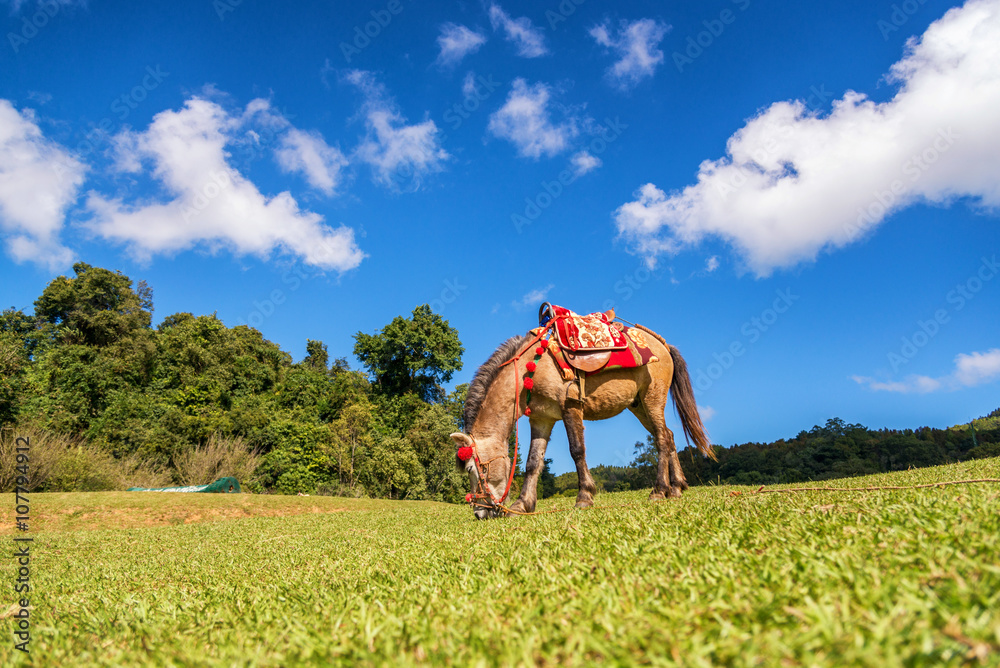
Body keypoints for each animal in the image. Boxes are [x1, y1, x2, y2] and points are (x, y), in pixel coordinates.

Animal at [450, 316, 716, 520]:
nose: (480, 513)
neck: (532, 367)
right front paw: (522, 504)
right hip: (639, 406)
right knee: (669, 436)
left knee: (661, 438)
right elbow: (533, 462)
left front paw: (584, 496)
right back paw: (677, 487)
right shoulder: (541, 419)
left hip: (653, 399)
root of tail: (663, 344)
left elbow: (577, 450)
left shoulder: (570, 408)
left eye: (473, 468)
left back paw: (659, 490)